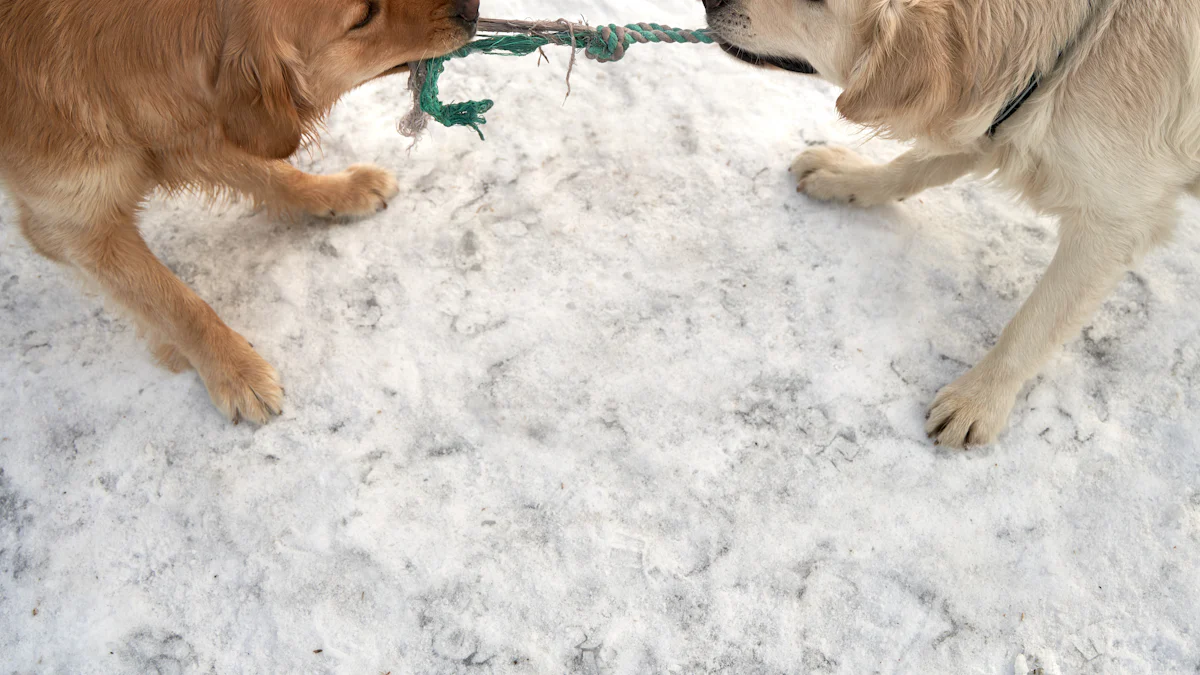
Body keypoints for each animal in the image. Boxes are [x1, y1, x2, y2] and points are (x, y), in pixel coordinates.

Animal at [1, 0, 477, 420]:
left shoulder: (204, 131)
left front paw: (342, 191)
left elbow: (275, 174)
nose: (471, 8)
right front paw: (236, 372)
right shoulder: (74, 228)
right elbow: (178, 305)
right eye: (363, 16)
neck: (113, 68)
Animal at [700, 0, 1200, 446]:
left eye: (817, 1)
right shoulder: (991, 119)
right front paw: (849, 178)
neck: (1068, 55)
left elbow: (1033, 324)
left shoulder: (1115, 221)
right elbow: (910, 166)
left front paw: (978, 400)